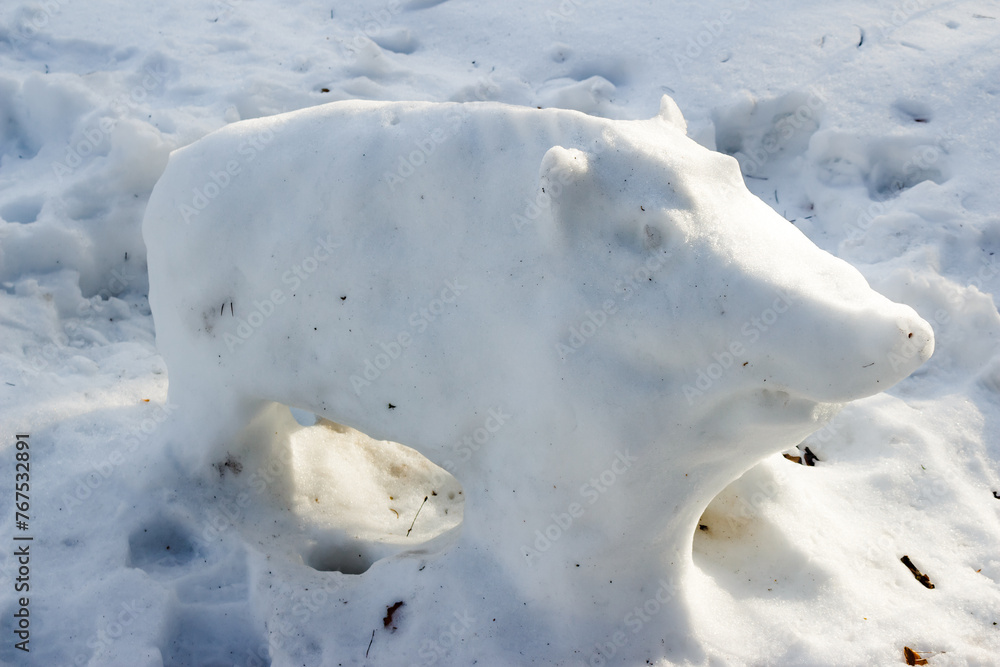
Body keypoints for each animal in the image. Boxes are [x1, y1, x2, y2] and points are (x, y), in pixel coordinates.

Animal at [142, 95, 933, 665]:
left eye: (737, 176)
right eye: (649, 235)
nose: (903, 330)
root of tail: (172, 171)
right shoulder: (561, 480)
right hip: (209, 382)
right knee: (215, 445)